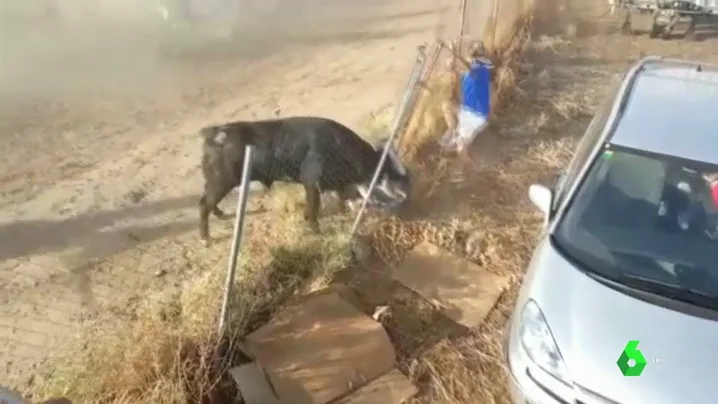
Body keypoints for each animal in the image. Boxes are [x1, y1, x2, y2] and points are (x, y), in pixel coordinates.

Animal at [198, 117, 410, 243]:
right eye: (385, 170)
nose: (405, 191)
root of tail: (213, 133)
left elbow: (338, 201)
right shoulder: (311, 183)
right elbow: (314, 207)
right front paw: (315, 230)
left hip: (214, 182)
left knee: (205, 200)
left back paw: (220, 215)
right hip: (221, 182)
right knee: (203, 205)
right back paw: (206, 238)